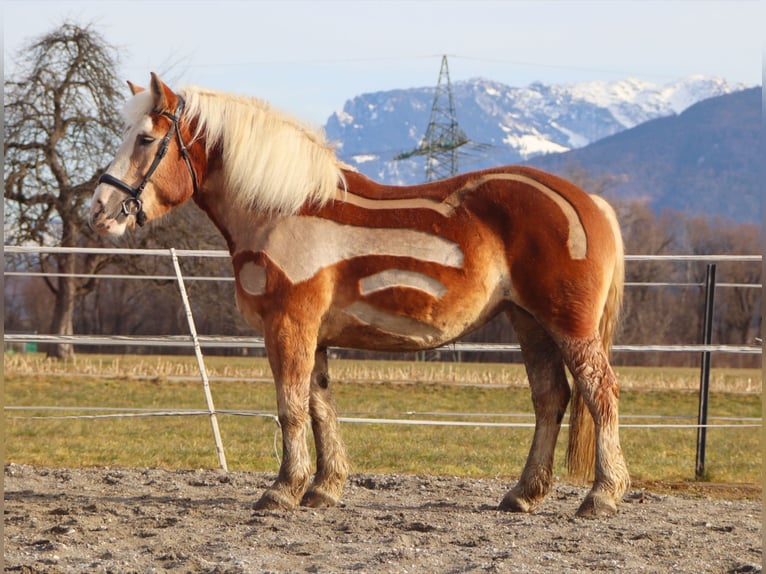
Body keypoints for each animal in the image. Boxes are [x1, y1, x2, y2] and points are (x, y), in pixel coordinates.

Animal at [90, 74, 632, 520]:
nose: (99, 210)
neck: (285, 210)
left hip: (569, 326)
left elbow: (290, 407)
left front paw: (281, 490)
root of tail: (590, 202)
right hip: (529, 322)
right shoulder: (313, 336)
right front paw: (323, 488)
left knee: (600, 392)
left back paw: (601, 495)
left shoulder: (288, 326)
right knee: (550, 398)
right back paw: (523, 494)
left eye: (146, 139)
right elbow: (319, 405)